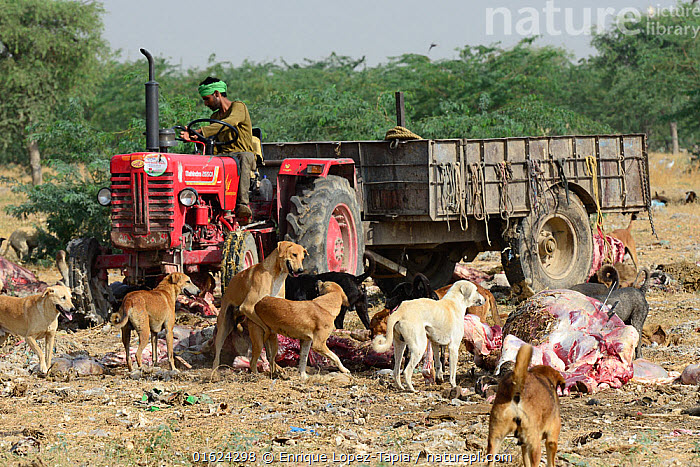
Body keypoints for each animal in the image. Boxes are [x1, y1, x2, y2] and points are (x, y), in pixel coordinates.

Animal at [209, 243, 304, 372]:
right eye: (294, 254)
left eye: (303, 258)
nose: (301, 270)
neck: (275, 276)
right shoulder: (247, 306)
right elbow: (267, 330)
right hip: (224, 329)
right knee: (219, 354)